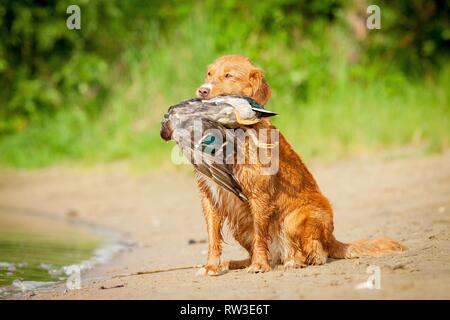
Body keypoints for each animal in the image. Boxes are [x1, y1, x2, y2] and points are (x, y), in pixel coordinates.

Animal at [193, 55, 404, 276]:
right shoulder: (209, 195)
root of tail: (332, 238)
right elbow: (213, 237)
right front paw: (211, 266)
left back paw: (294, 261)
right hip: (241, 228)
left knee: (315, 253)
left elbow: (260, 236)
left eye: (229, 75)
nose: (202, 90)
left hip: (294, 219)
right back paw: (235, 263)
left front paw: (259, 265)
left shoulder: (259, 194)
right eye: (209, 73)